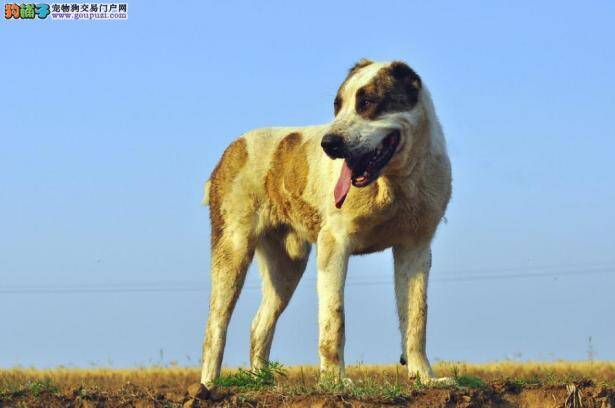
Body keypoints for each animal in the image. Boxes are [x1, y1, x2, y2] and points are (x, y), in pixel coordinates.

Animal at [200, 58, 450, 386]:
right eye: (337, 105)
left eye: (367, 102)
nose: (328, 143)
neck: (394, 183)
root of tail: (232, 149)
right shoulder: (335, 244)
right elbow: (334, 317)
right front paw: (335, 381)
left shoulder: (416, 248)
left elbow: (417, 317)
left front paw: (424, 377)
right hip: (233, 250)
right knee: (215, 326)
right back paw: (207, 386)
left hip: (287, 266)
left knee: (260, 323)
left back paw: (261, 381)